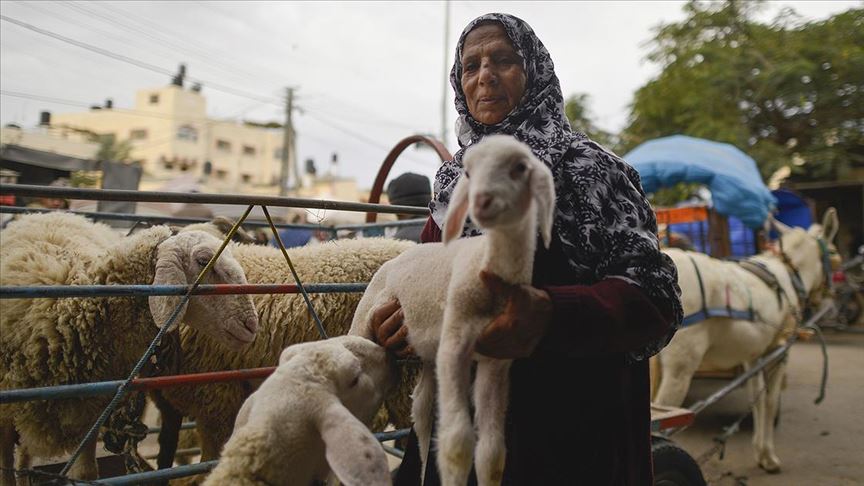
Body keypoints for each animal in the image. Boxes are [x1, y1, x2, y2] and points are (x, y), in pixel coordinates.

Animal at [0, 213, 258, 482]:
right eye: (204, 261)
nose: (251, 326)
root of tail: (44, 214)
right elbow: (5, 467)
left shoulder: (91, 410)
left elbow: (87, 473)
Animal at [350, 135, 556, 486]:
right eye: (468, 172)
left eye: (520, 168)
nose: (482, 202)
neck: (486, 264)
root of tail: (395, 258)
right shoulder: (454, 344)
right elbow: (457, 444)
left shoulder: (497, 358)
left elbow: (492, 452)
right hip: (366, 321)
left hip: (428, 354)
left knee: (421, 411)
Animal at [656, 209, 836, 470]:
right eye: (832, 252)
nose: (829, 294)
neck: (789, 274)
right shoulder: (779, 351)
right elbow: (770, 401)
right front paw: (769, 456)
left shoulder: (754, 355)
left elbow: (756, 400)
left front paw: (759, 452)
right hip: (680, 367)